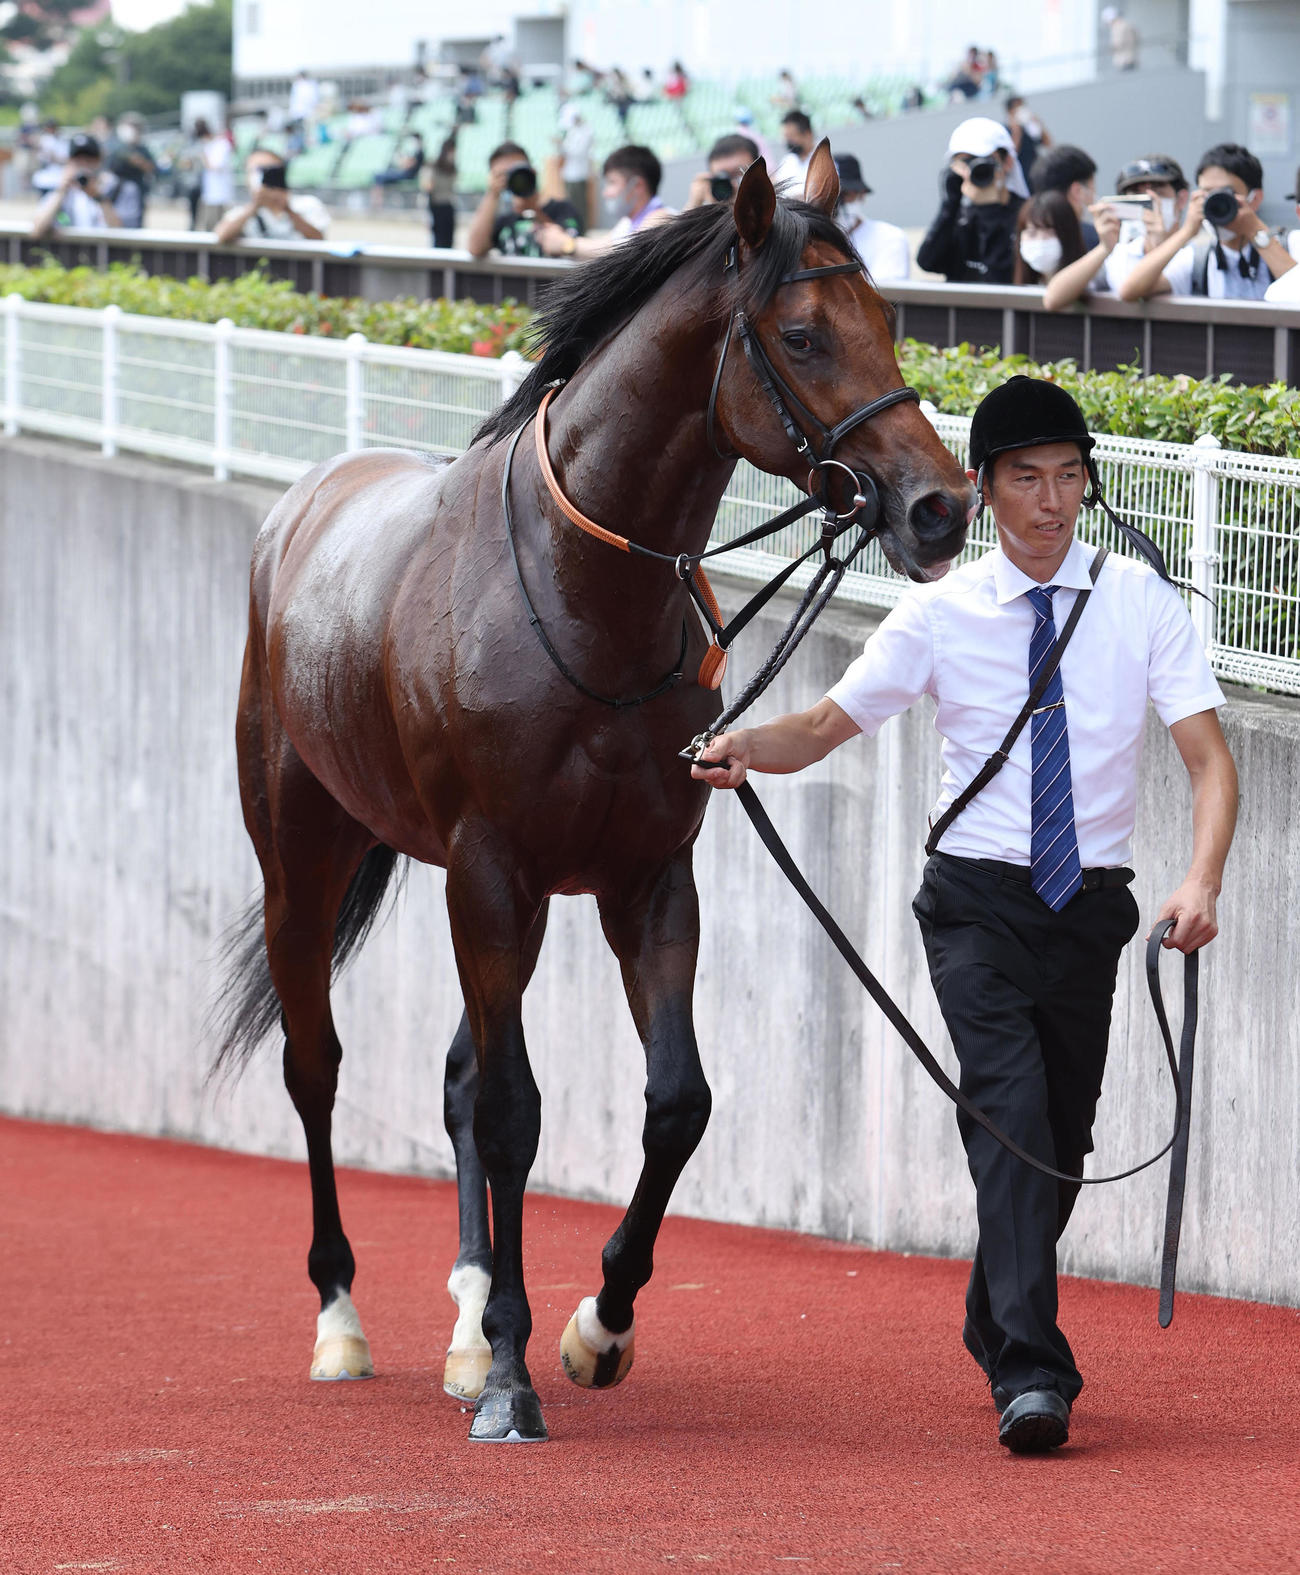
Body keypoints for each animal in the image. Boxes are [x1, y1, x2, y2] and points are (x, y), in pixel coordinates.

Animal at [217, 144, 976, 1443]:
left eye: (887, 317)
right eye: (803, 333)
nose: (940, 506)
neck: (583, 600)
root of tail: (305, 505)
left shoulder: (645, 879)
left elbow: (673, 1102)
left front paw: (592, 1328)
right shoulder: (494, 872)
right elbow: (515, 1113)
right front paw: (515, 1379)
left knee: (460, 1076)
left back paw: (469, 1323)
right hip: (302, 857)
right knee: (317, 1067)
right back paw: (344, 1320)